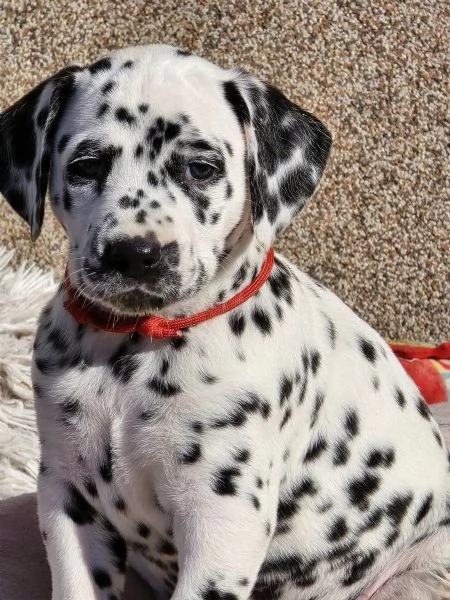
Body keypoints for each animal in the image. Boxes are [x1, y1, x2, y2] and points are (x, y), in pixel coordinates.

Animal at [0, 44, 450, 596]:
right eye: (86, 165)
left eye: (201, 168)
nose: (134, 254)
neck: (138, 345)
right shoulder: (68, 494)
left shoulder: (223, 517)